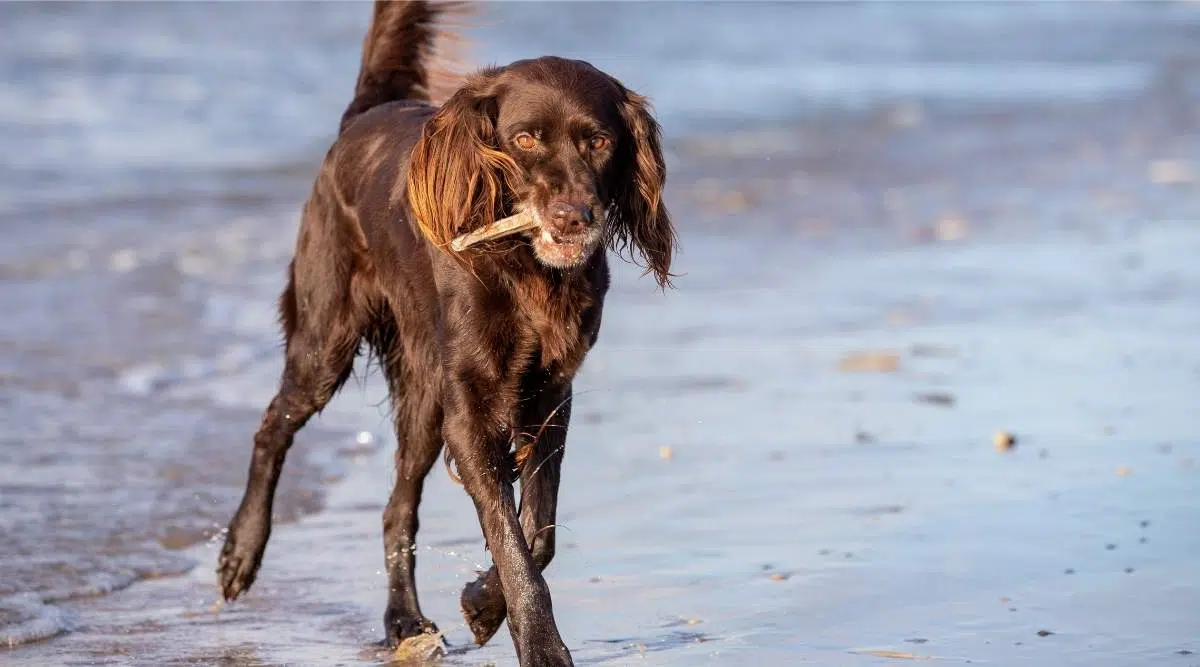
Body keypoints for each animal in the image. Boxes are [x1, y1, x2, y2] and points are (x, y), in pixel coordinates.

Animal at [218, 1, 676, 667]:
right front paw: (541, 647)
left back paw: (402, 620)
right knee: (272, 426)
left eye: (598, 140)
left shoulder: (548, 397)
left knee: (396, 508)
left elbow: (537, 534)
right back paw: (241, 551)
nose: (573, 218)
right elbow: (514, 543)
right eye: (524, 139)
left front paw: (482, 604)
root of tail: (365, 115)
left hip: (425, 398)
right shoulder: (472, 410)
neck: (523, 264)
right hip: (328, 341)